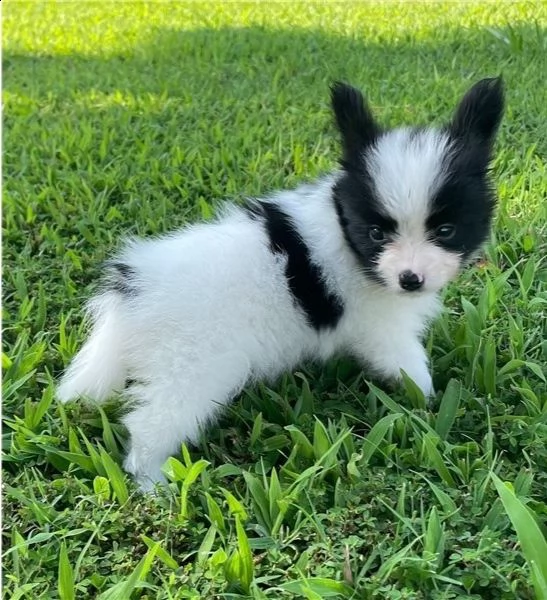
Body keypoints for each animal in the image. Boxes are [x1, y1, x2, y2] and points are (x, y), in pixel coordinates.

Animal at [58, 79, 506, 490]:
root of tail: (131, 286)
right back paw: (154, 485)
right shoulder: (381, 328)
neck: (344, 234)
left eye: (445, 231)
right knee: (153, 421)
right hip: (191, 367)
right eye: (377, 234)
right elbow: (408, 363)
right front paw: (432, 400)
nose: (410, 280)